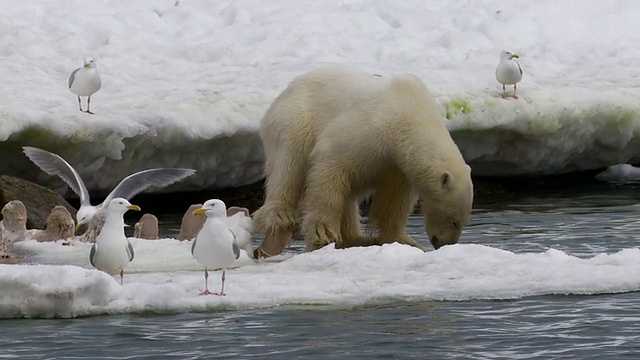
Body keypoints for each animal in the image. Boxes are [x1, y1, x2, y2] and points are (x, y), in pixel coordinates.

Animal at [252, 67, 472, 258]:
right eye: (454, 221)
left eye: (463, 222)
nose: (442, 244)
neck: (408, 113)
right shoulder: (371, 130)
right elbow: (331, 166)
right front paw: (322, 233)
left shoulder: (396, 163)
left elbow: (394, 199)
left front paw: (405, 241)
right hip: (295, 119)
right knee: (289, 163)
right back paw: (280, 216)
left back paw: (358, 239)